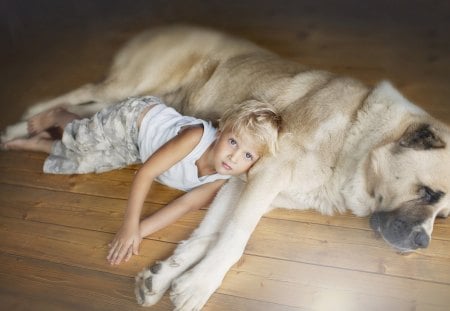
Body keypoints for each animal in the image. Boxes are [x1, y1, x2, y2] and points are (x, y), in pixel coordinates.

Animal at [1, 25, 448, 310]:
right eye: (428, 193)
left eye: (442, 216)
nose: (423, 244)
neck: (359, 136)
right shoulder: (265, 176)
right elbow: (233, 240)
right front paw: (198, 287)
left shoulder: (242, 183)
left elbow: (210, 235)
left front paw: (165, 276)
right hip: (129, 86)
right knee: (76, 94)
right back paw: (16, 126)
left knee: (77, 112)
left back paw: (33, 130)